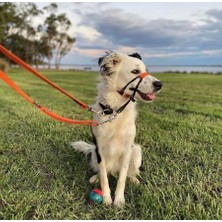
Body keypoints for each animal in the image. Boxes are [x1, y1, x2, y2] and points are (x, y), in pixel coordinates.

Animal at [72, 51, 162, 207]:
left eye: (146, 71)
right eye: (135, 71)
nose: (159, 84)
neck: (114, 111)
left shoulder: (127, 149)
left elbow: (122, 179)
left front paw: (119, 200)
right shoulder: (100, 149)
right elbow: (104, 177)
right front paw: (107, 198)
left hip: (136, 151)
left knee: (130, 172)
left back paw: (133, 179)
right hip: (94, 154)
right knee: (103, 172)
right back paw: (95, 177)